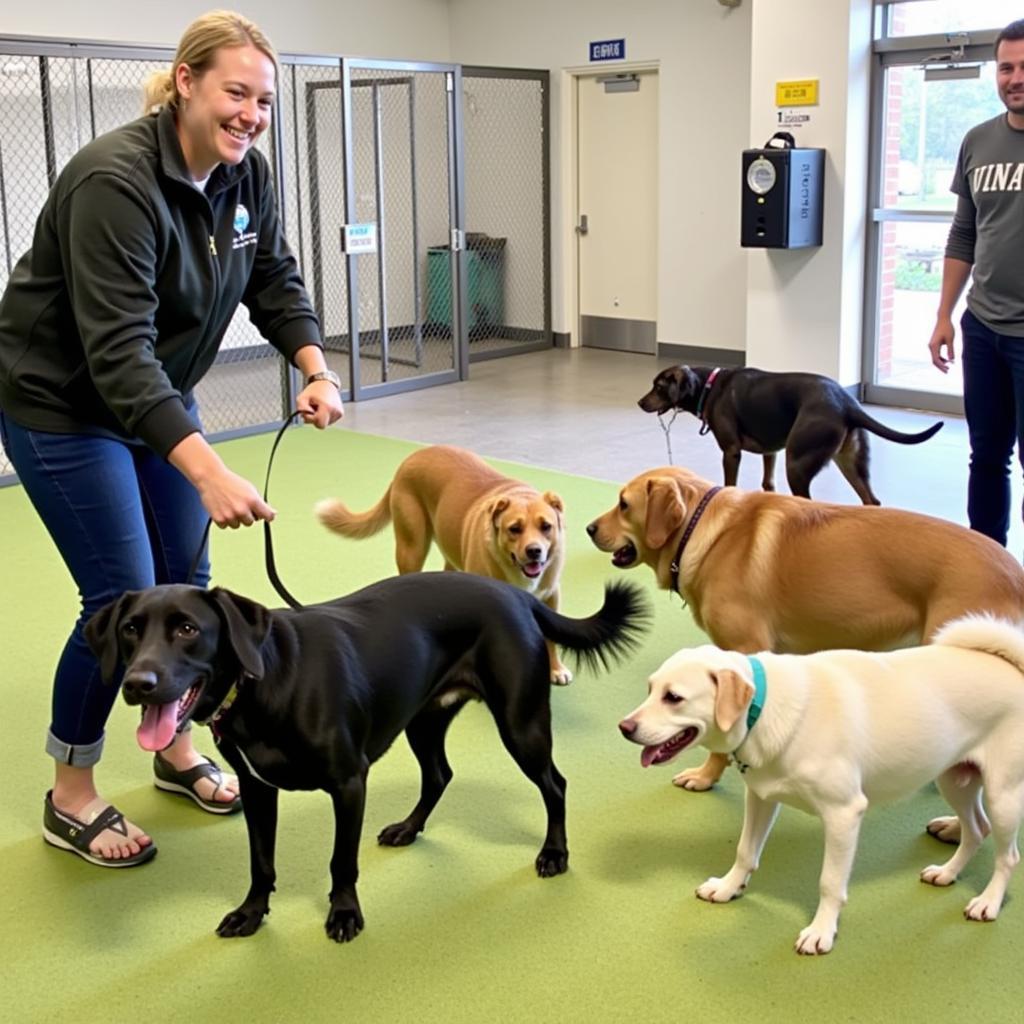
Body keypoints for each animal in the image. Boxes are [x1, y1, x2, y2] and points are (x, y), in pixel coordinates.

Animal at [315, 444, 573, 684]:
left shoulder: (551, 595)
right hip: (412, 546)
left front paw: (555, 668)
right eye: (514, 529)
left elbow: (551, 636)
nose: (534, 551)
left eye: (546, 526)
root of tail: (413, 457)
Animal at [589, 464, 1024, 798]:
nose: (590, 528)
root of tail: (1013, 570)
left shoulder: (743, 650)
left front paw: (706, 776)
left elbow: (723, 738)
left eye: (623, 504)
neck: (705, 534)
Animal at [614, 614, 1024, 958]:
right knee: (976, 830)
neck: (763, 708)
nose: (624, 727)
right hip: (954, 779)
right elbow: (745, 851)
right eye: (650, 689)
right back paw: (948, 873)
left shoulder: (844, 815)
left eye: (673, 698)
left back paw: (988, 901)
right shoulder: (760, 798)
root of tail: (1013, 668)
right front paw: (729, 888)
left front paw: (821, 931)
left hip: (1002, 795)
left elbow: (829, 882)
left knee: (1007, 856)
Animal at [638, 364, 942, 503]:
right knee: (872, 500)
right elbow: (768, 484)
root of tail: (847, 404)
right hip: (851, 462)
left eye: (658, 386)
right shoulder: (770, 451)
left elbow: (729, 484)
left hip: (797, 462)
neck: (710, 386)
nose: (640, 402)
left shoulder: (731, 452)